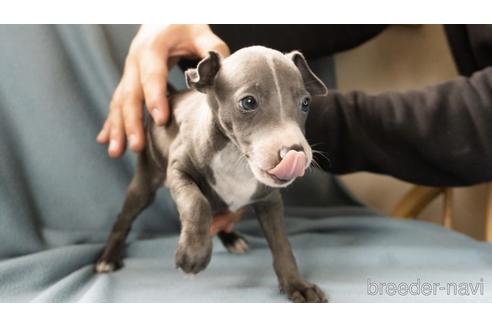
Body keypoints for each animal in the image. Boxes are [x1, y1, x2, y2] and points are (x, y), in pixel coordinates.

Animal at [94, 45, 328, 302]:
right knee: (124, 218)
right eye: (248, 102)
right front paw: (193, 255)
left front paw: (296, 284)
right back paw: (108, 258)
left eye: (305, 103)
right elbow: (197, 204)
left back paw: (231, 239)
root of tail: (173, 96)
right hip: (145, 181)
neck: (235, 157)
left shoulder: (270, 200)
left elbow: (281, 244)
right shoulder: (179, 171)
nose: (296, 153)